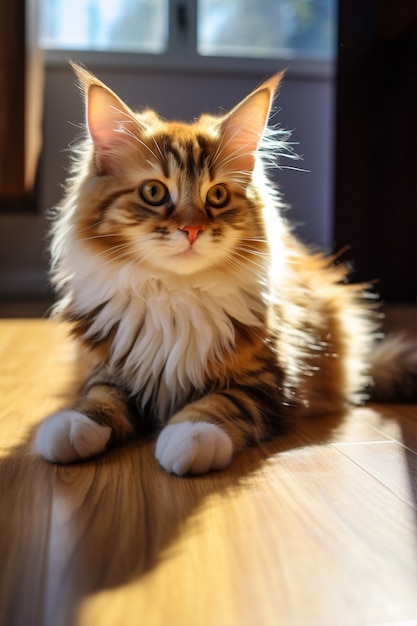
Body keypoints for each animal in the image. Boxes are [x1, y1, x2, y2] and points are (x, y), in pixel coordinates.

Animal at [34, 62, 414, 472]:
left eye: (216, 195)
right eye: (154, 192)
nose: (192, 230)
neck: (176, 295)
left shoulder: (270, 376)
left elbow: (225, 402)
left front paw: (191, 436)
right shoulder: (109, 363)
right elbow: (99, 396)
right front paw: (74, 425)